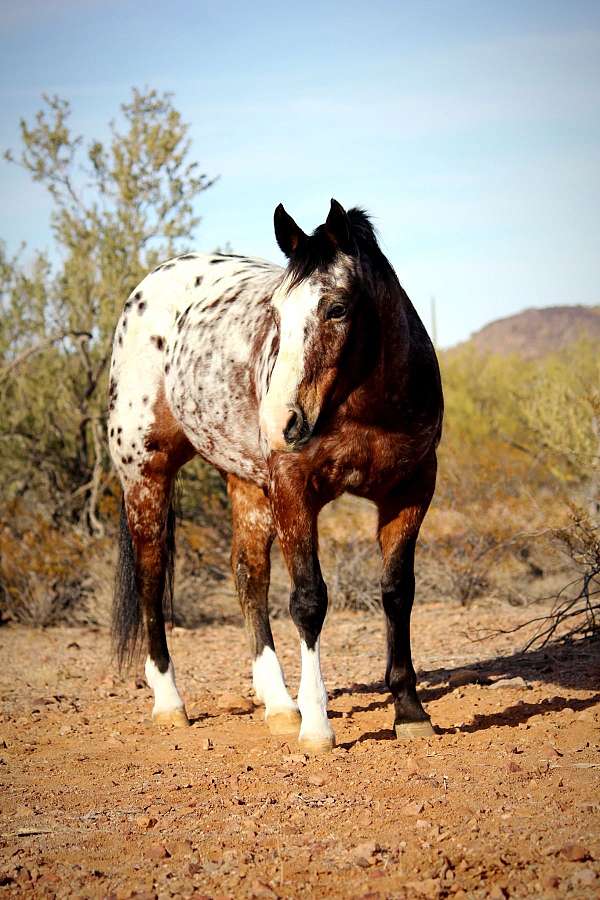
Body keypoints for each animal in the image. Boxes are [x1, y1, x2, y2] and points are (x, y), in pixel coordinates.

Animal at [110, 199, 442, 752]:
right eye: (277, 313)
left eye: (337, 308)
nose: (279, 422)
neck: (365, 407)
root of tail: (150, 285)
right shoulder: (293, 490)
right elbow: (309, 600)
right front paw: (318, 727)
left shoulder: (410, 490)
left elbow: (397, 593)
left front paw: (410, 710)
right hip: (147, 475)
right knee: (152, 579)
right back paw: (171, 703)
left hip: (246, 485)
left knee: (249, 576)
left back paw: (280, 703)